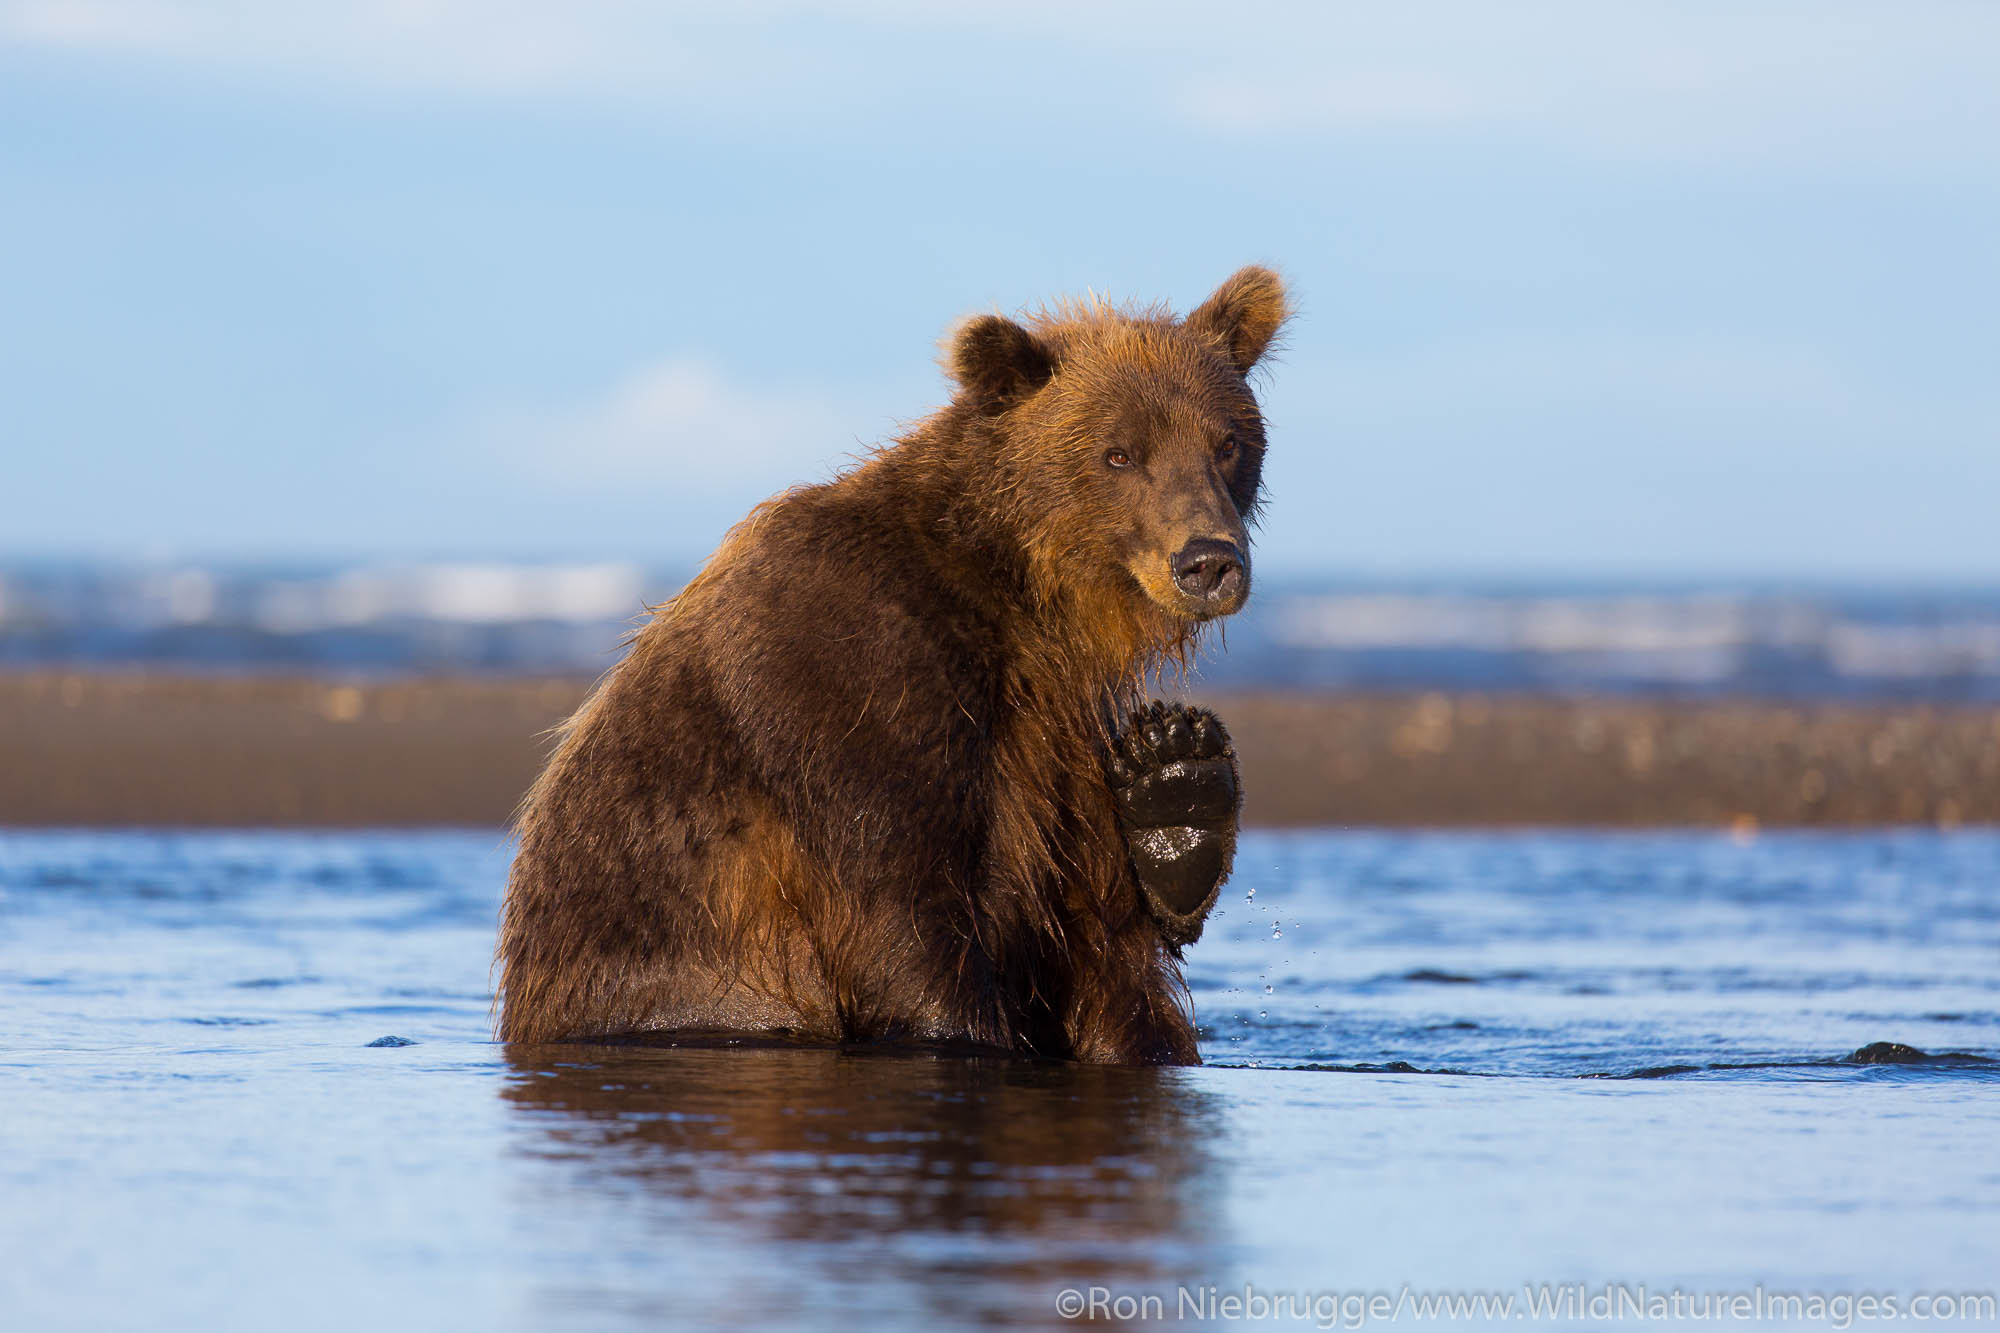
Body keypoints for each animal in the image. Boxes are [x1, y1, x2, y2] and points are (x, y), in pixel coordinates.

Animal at [492, 264, 1288, 1064]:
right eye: (1119, 453)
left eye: (1227, 442)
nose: (1208, 561)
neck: (1017, 587)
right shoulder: (855, 669)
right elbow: (903, 911)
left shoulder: (1053, 725)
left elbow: (1092, 926)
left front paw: (1173, 779)